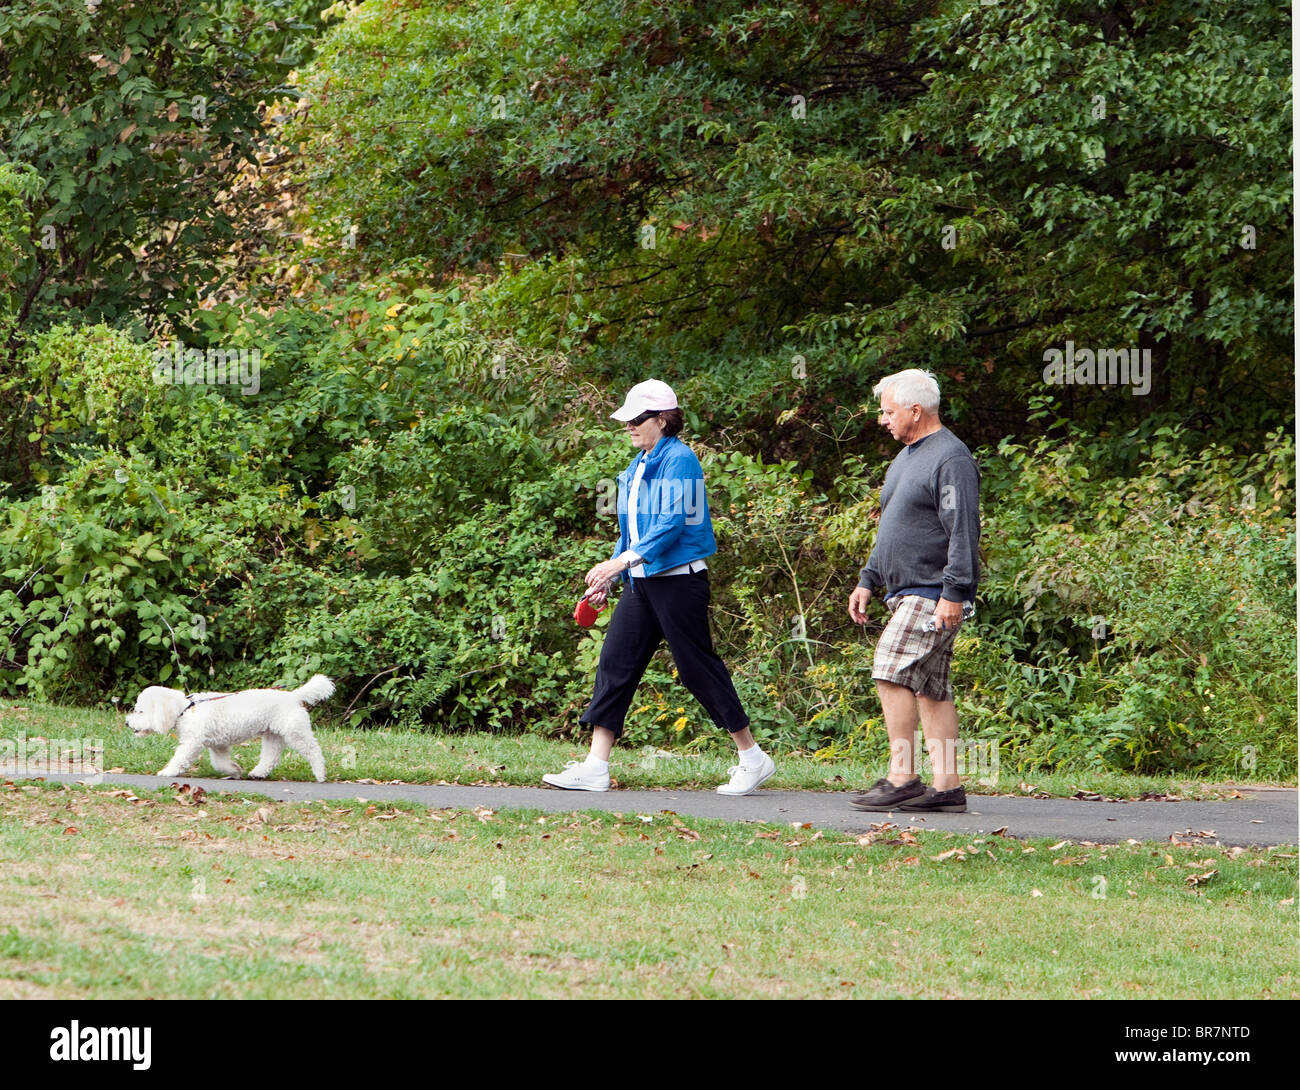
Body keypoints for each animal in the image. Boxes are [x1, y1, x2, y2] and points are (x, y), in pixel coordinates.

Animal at [126, 676, 335, 785]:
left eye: (140, 711)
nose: (127, 723)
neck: (185, 711)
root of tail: (293, 697)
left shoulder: (192, 743)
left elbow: (180, 758)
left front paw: (168, 771)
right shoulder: (218, 745)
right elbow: (219, 763)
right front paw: (235, 770)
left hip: (295, 732)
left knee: (314, 751)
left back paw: (320, 774)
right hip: (273, 735)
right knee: (271, 757)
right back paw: (258, 773)